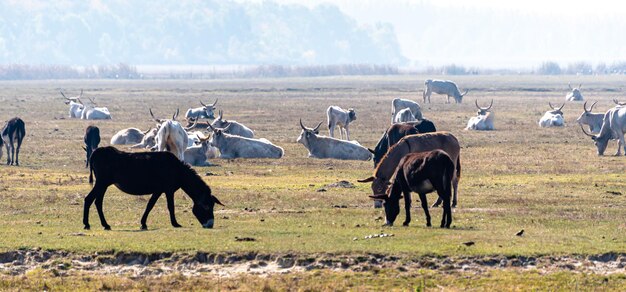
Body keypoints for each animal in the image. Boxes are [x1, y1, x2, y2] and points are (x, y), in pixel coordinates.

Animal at [84, 147, 223, 229]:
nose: (210, 225)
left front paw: (143, 224)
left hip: (103, 184)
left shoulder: (158, 190)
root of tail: (95, 152)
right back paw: (87, 224)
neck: (178, 170)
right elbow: (170, 206)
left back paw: (104, 225)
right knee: (89, 199)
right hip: (102, 182)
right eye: (206, 206)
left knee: (97, 202)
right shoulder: (168, 190)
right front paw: (175, 223)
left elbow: (150, 205)